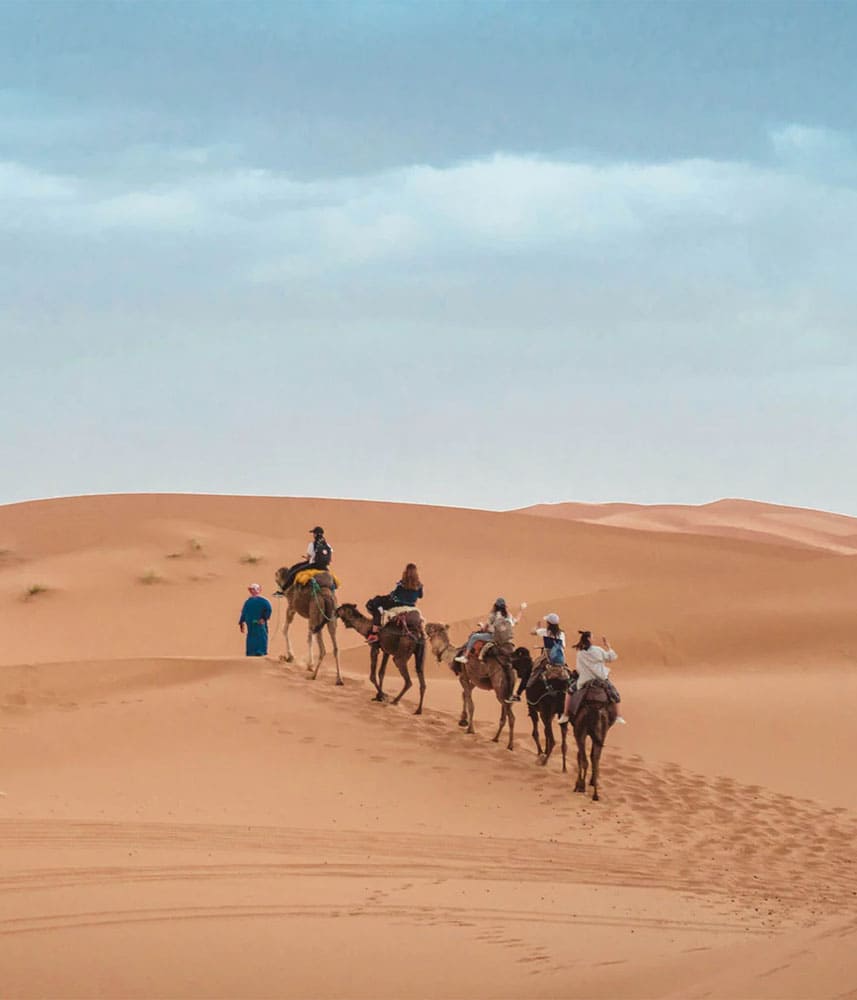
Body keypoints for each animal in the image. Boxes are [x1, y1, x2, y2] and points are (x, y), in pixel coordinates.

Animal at [422, 620, 516, 752]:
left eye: (434, 627)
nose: (426, 624)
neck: (454, 656)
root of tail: (508, 665)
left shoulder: (464, 676)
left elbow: (471, 703)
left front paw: (470, 729)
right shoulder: (473, 680)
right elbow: (465, 695)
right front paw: (463, 719)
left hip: (499, 687)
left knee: (511, 716)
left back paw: (510, 745)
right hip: (506, 690)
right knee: (505, 714)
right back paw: (495, 738)